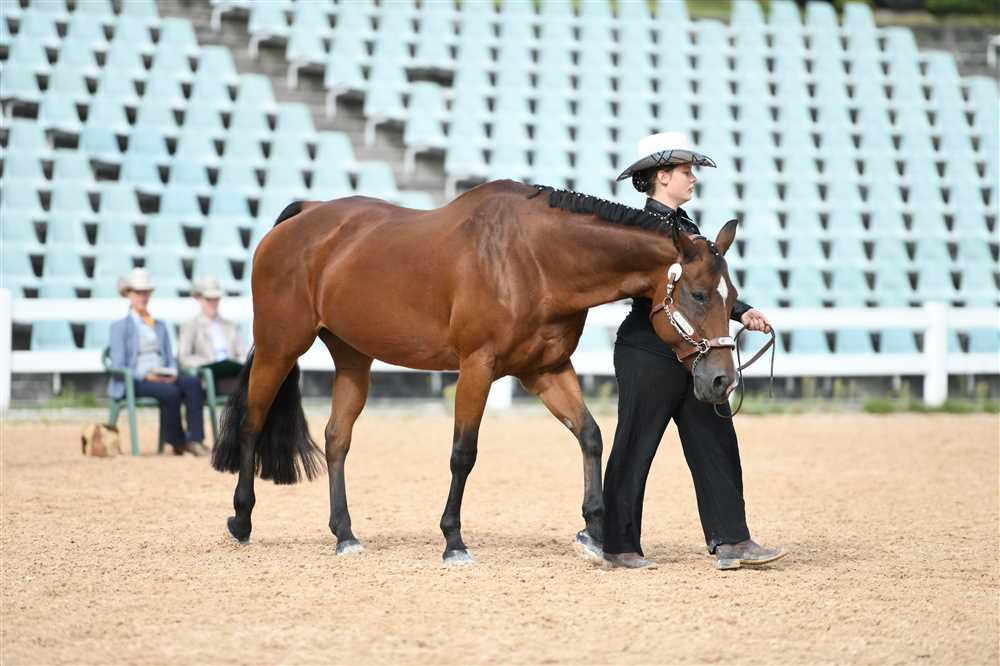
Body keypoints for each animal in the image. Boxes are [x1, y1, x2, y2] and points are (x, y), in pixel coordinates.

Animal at [211, 179, 742, 564]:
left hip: (353, 358)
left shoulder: (546, 370)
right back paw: (240, 523)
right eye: (698, 294)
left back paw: (345, 534)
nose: (722, 379)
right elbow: (463, 453)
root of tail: (306, 214)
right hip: (281, 346)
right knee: (252, 423)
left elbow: (591, 436)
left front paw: (593, 531)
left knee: (337, 437)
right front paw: (453, 541)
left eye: (733, 299)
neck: (533, 259)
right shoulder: (476, 367)